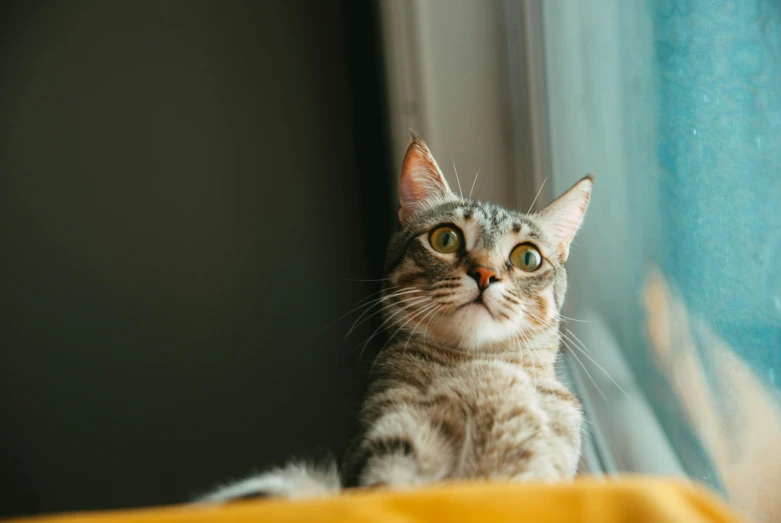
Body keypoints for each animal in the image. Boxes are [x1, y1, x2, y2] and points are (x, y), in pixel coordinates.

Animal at [201, 133, 592, 502]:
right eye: (446, 238)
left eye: (528, 258)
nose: (485, 273)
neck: (480, 365)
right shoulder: (390, 435)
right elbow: (385, 489)